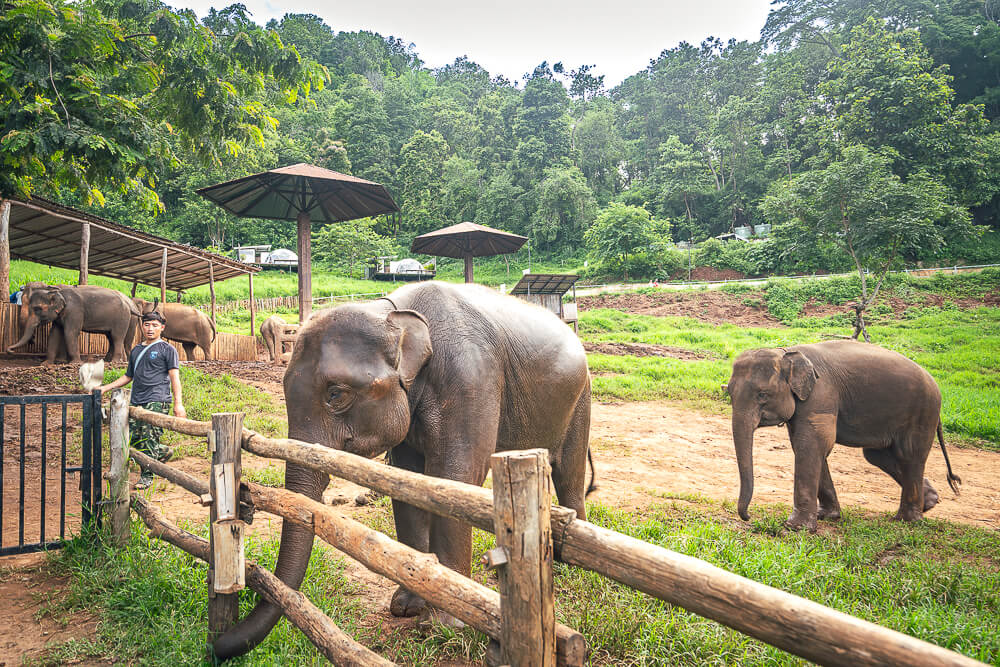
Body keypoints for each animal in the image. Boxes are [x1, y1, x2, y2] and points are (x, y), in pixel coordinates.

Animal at [8, 285, 139, 363]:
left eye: (37, 309)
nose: (10, 351)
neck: (57, 292)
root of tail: (129, 304)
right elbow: (54, 334)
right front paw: (46, 364)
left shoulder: (74, 311)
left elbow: (70, 333)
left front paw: (75, 363)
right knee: (111, 338)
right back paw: (106, 361)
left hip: (122, 318)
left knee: (117, 337)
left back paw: (115, 362)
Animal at [212, 281, 595, 659]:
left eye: (335, 394)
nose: (216, 646)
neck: (389, 313)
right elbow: (407, 483)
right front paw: (406, 605)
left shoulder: (472, 379)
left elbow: (455, 480)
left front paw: (443, 624)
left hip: (582, 397)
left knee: (569, 474)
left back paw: (566, 564)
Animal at [726, 340, 961, 532]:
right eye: (728, 392)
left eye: (762, 395)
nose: (748, 516)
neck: (786, 353)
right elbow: (808, 446)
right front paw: (827, 516)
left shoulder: (821, 394)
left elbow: (812, 444)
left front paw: (795, 527)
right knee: (879, 456)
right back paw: (929, 503)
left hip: (922, 413)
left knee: (909, 456)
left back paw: (906, 520)